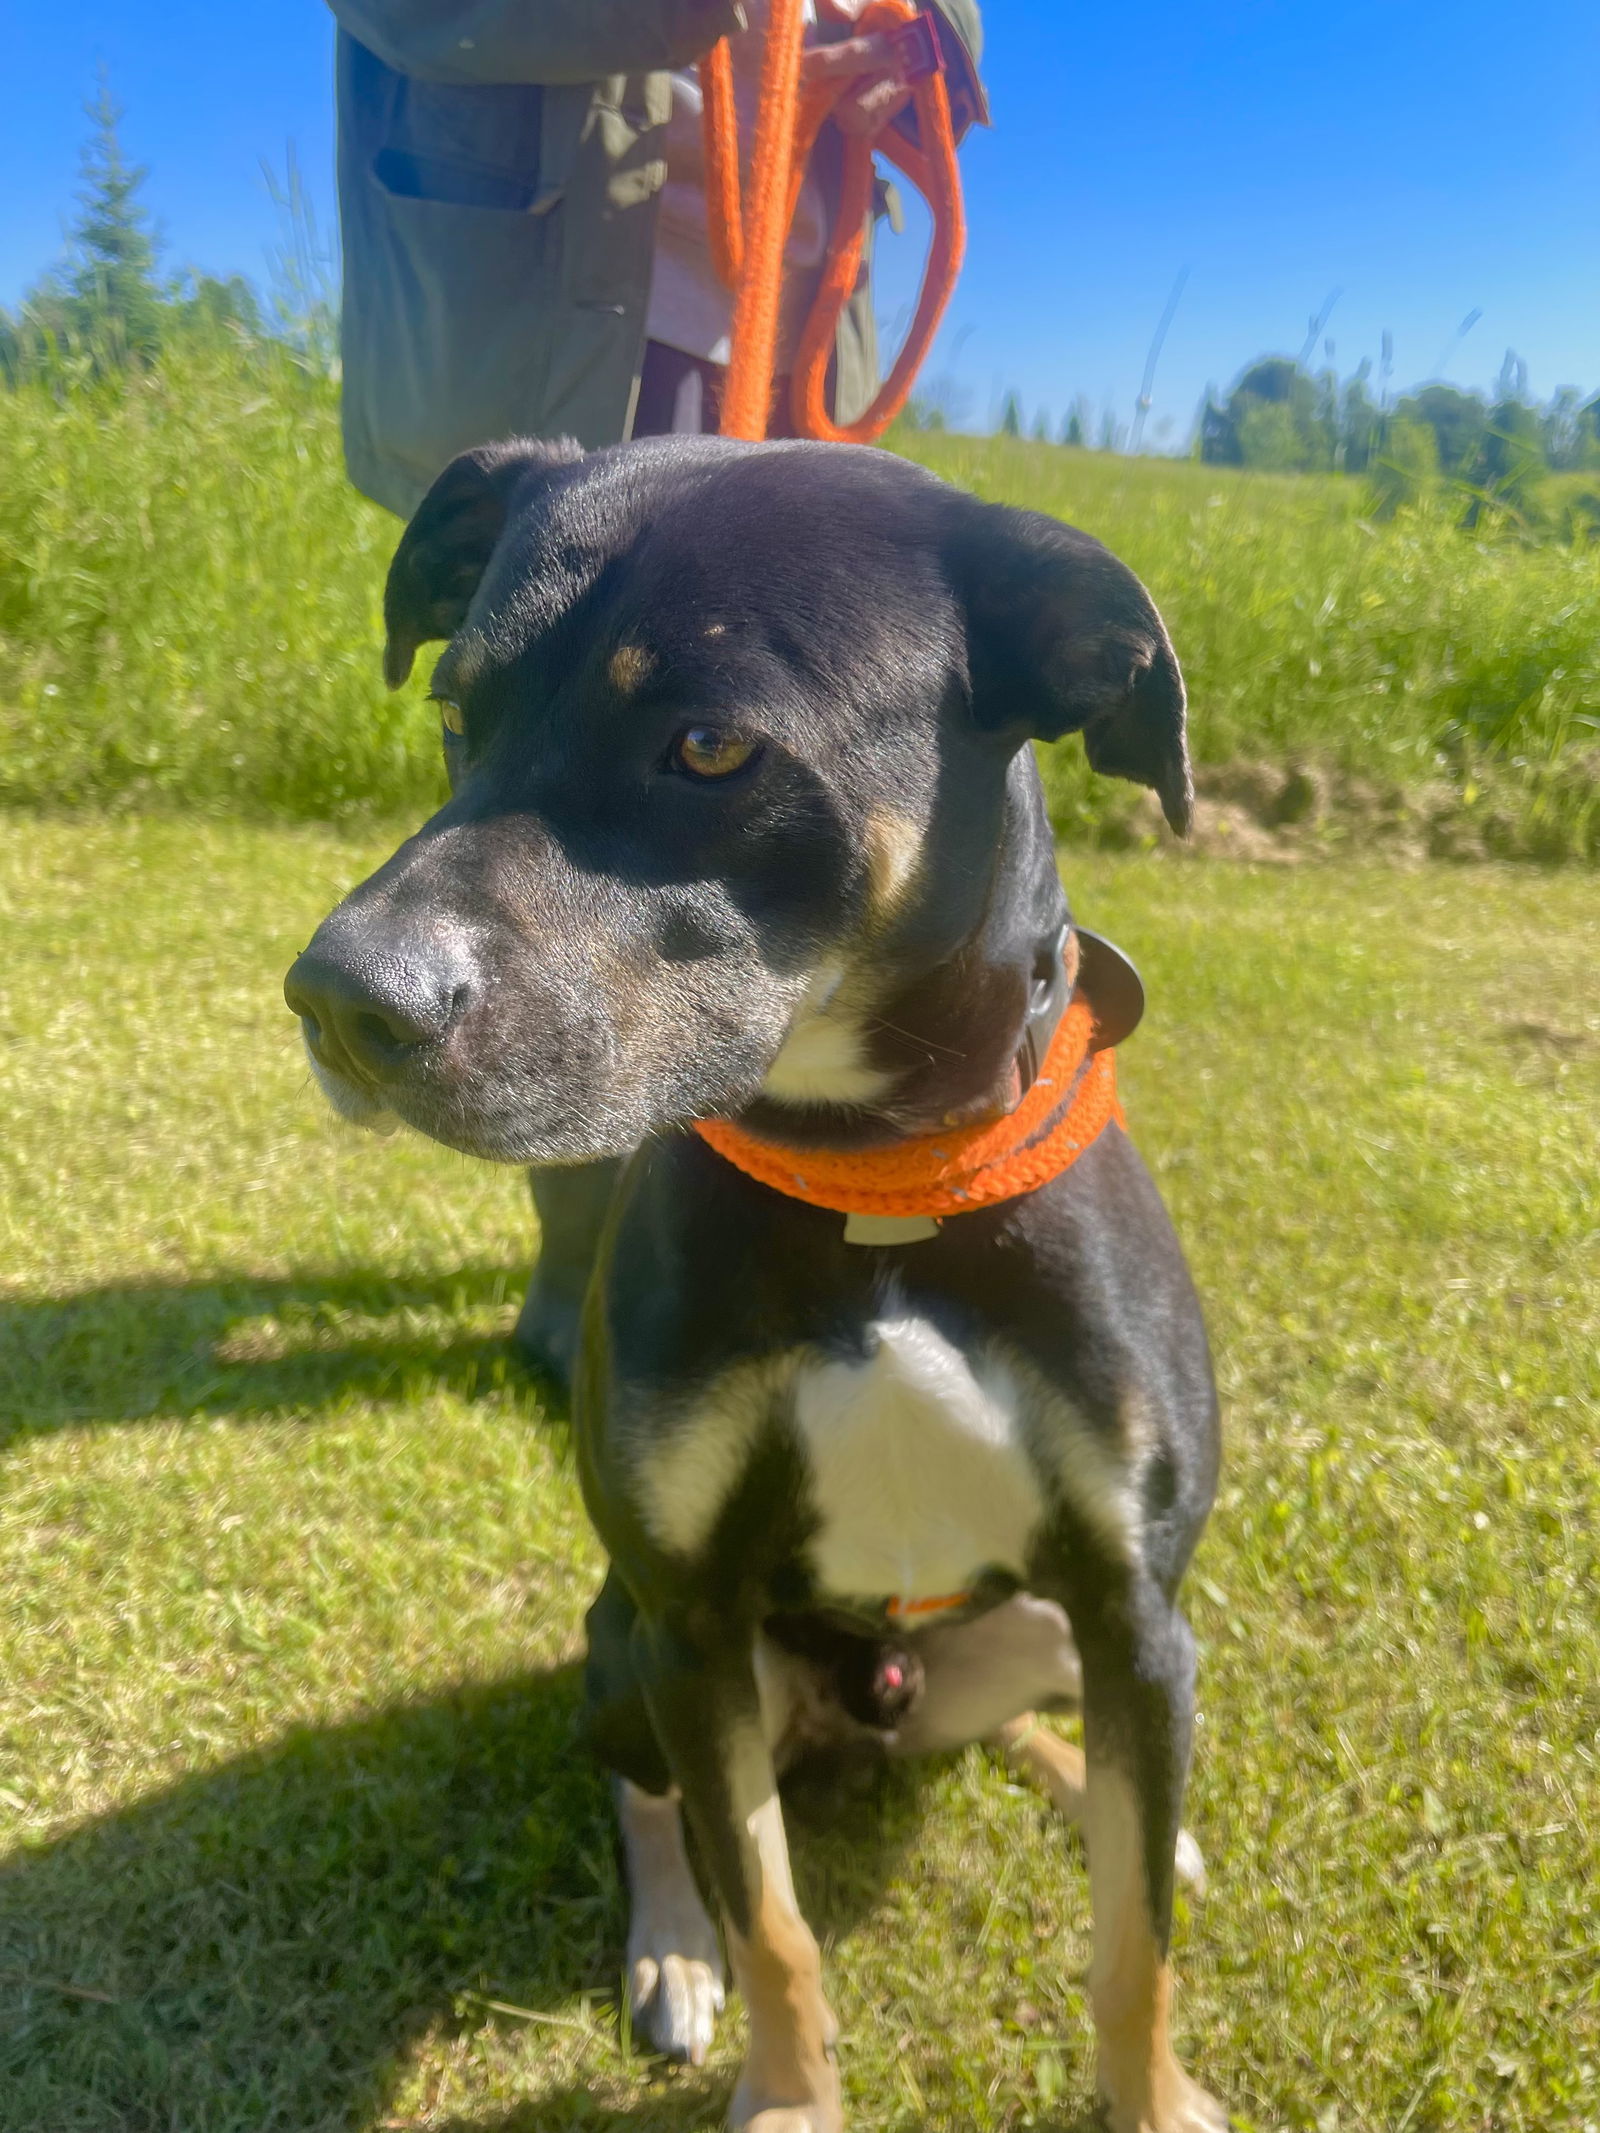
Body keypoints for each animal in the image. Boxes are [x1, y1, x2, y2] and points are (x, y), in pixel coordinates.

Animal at [288, 437, 1237, 2133]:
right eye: (460, 707)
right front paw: (787, 2093)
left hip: (1049, 1628)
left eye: (712, 745)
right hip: (625, 1646)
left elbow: (1134, 1935)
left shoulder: (1135, 1603)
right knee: (650, 1798)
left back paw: (1113, 1797)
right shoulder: (688, 1614)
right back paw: (669, 1944)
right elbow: (774, 1914)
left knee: (1053, 1738)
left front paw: (1154, 2089)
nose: (336, 1000)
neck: (877, 1196)